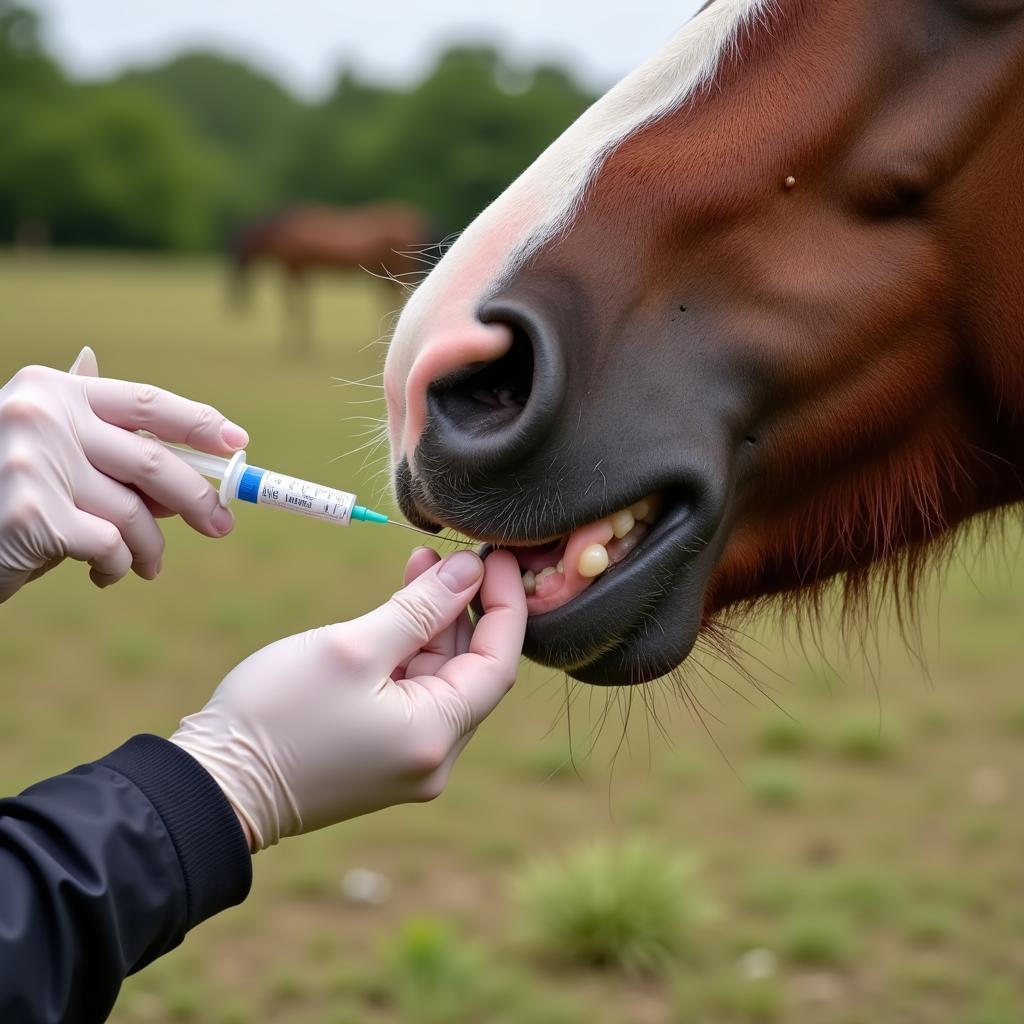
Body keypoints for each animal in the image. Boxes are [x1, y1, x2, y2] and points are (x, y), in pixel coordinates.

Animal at [232, 203, 436, 356]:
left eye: (239, 260)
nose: (236, 305)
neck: (284, 231)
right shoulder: (302, 271)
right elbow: (303, 307)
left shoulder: (293, 270)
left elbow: (294, 307)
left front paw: (293, 348)